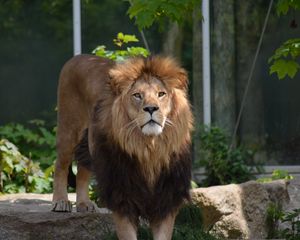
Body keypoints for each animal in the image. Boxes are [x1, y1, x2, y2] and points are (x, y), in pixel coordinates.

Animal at [52, 54, 193, 240]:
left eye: (161, 94)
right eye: (137, 95)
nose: (151, 108)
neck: (149, 148)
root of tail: (78, 57)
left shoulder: (166, 198)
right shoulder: (122, 194)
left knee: (83, 168)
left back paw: (84, 203)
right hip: (69, 129)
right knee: (60, 165)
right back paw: (60, 201)